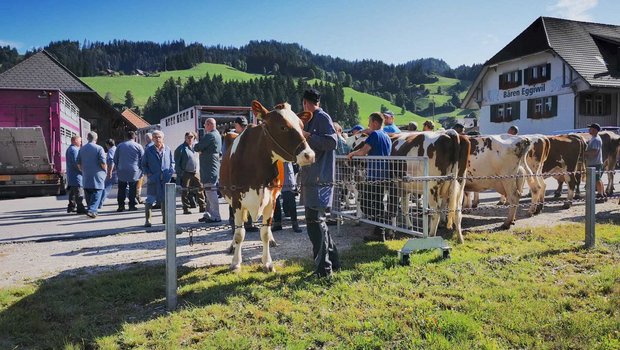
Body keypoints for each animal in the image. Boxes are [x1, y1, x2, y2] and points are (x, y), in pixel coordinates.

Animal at [219, 100, 314, 272]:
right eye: (282, 127)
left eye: (302, 126)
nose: (309, 155)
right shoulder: (236, 201)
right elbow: (239, 233)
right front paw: (235, 263)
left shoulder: (271, 200)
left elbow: (264, 231)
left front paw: (267, 263)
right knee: (235, 226)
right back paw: (231, 246)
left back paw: (272, 240)